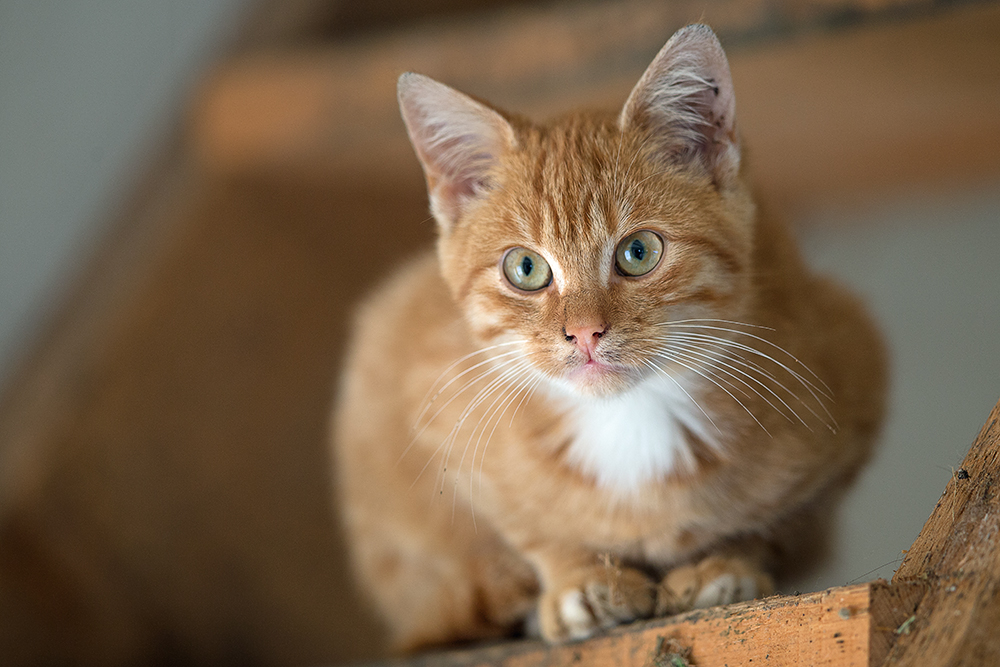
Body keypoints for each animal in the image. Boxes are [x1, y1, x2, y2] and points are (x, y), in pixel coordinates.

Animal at [332, 24, 888, 652]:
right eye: (525, 268)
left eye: (638, 252)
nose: (584, 332)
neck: (631, 422)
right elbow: (527, 529)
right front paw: (577, 580)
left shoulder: (852, 372)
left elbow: (778, 523)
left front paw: (725, 563)